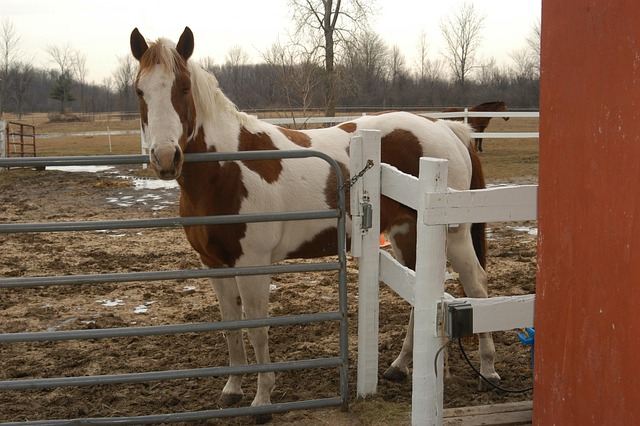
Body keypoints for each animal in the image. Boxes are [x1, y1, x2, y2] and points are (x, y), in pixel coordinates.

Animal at [130, 27, 499, 422]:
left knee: (477, 287)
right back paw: (400, 366)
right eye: (140, 90)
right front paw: (232, 389)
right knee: (419, 296)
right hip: (407, 237)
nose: (166, 157)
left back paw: (488, 371)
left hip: (454, 237)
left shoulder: (253, 265)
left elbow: (257, 330)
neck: (228, 169)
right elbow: (231, 326)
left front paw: (262, 401)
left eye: (183, 87)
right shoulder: (214, 264)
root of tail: (445, 128)